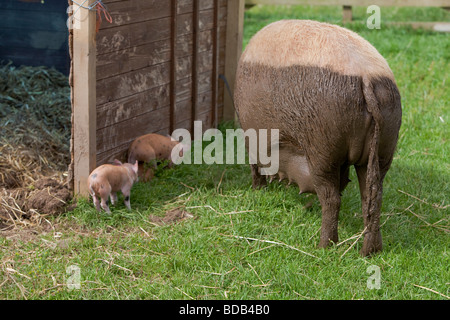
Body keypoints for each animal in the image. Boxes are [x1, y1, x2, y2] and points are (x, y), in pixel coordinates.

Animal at [234, 19, 402, 255]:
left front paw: (258, 190)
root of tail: (366, 77)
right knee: (372, 197)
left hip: (322, 149)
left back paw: (324, 247)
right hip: (384, 148)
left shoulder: (250, 134)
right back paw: (370, 252)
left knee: (331, 199)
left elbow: (254, 165)